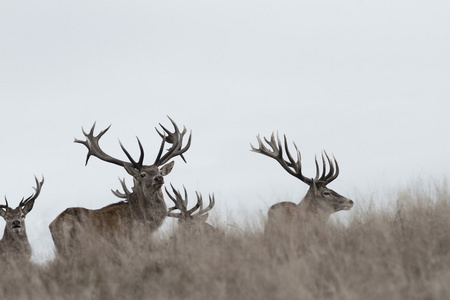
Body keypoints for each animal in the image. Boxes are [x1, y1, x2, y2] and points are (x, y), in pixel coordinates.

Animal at [49, 116, 190, 255]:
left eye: (159, 171)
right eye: (142, 174)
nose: (159, 178)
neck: (143, 219)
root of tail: (61, 221)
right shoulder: (127, 242)